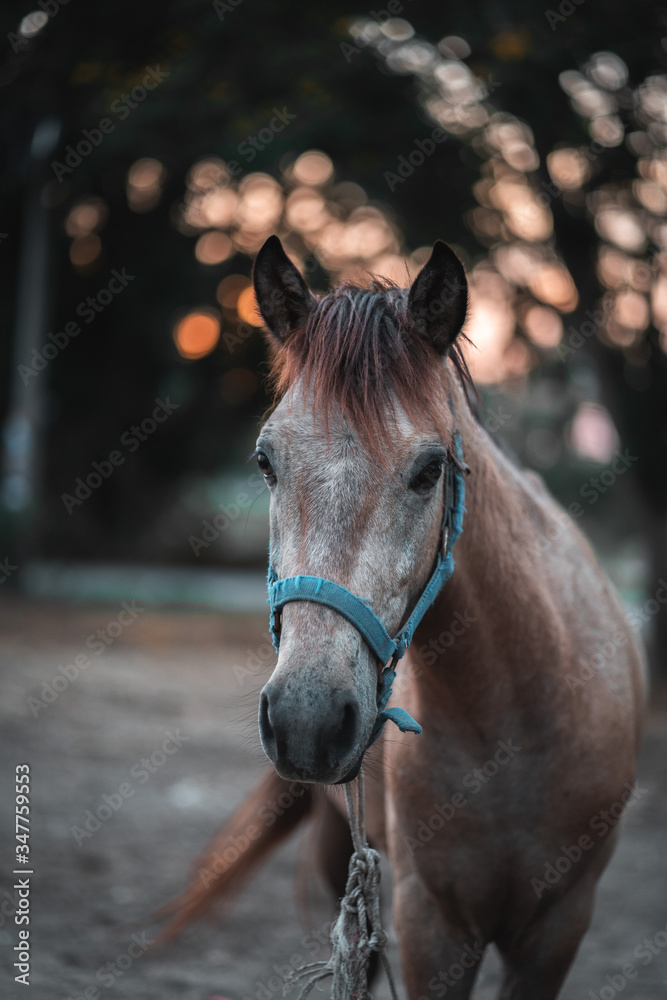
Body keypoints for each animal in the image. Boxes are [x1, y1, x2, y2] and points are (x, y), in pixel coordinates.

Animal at [164, 235, 646, 999]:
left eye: (429, 469)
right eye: (265, 461)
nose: (305, 718)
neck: (516, 718)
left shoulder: (558, 927)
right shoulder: (431, 925)